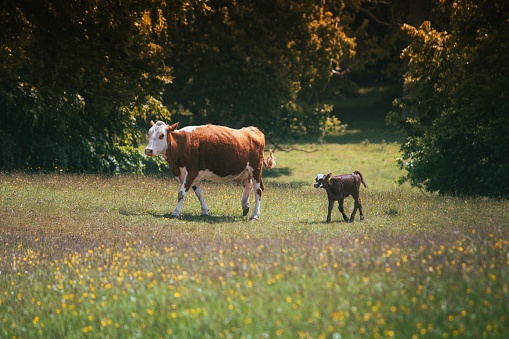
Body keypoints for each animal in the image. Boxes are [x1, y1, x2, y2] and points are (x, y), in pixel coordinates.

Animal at [145, 121, 276, 219]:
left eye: (162, 135)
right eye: (149, 133)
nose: (148, 150)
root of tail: (253, 129)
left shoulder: (191, 172)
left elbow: (182, 193)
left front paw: (175, 213)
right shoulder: (193, 175)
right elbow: (199, 193)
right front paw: (204, 211)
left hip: (256, 169)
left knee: (258, 189)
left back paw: (255, 215)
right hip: (245, 171)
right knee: (249, 186)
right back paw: (245, 206)